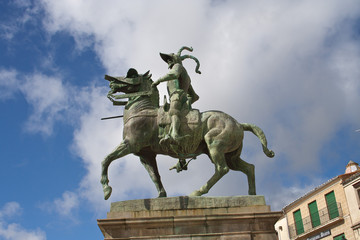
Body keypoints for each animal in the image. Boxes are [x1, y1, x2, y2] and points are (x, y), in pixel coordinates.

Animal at [100, 68, 274, 200]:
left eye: (131, 74)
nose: (110, 81)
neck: (142, 111)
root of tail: (239, 124)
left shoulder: (130, 144)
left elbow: (106, 159)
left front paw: (106, 189)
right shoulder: (145, 155)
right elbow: (155, 176)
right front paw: (161, 195)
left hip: (214, 146)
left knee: (222, 169)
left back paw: (197, 192)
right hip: (230, 156)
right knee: (248, 168)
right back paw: (252, 195)